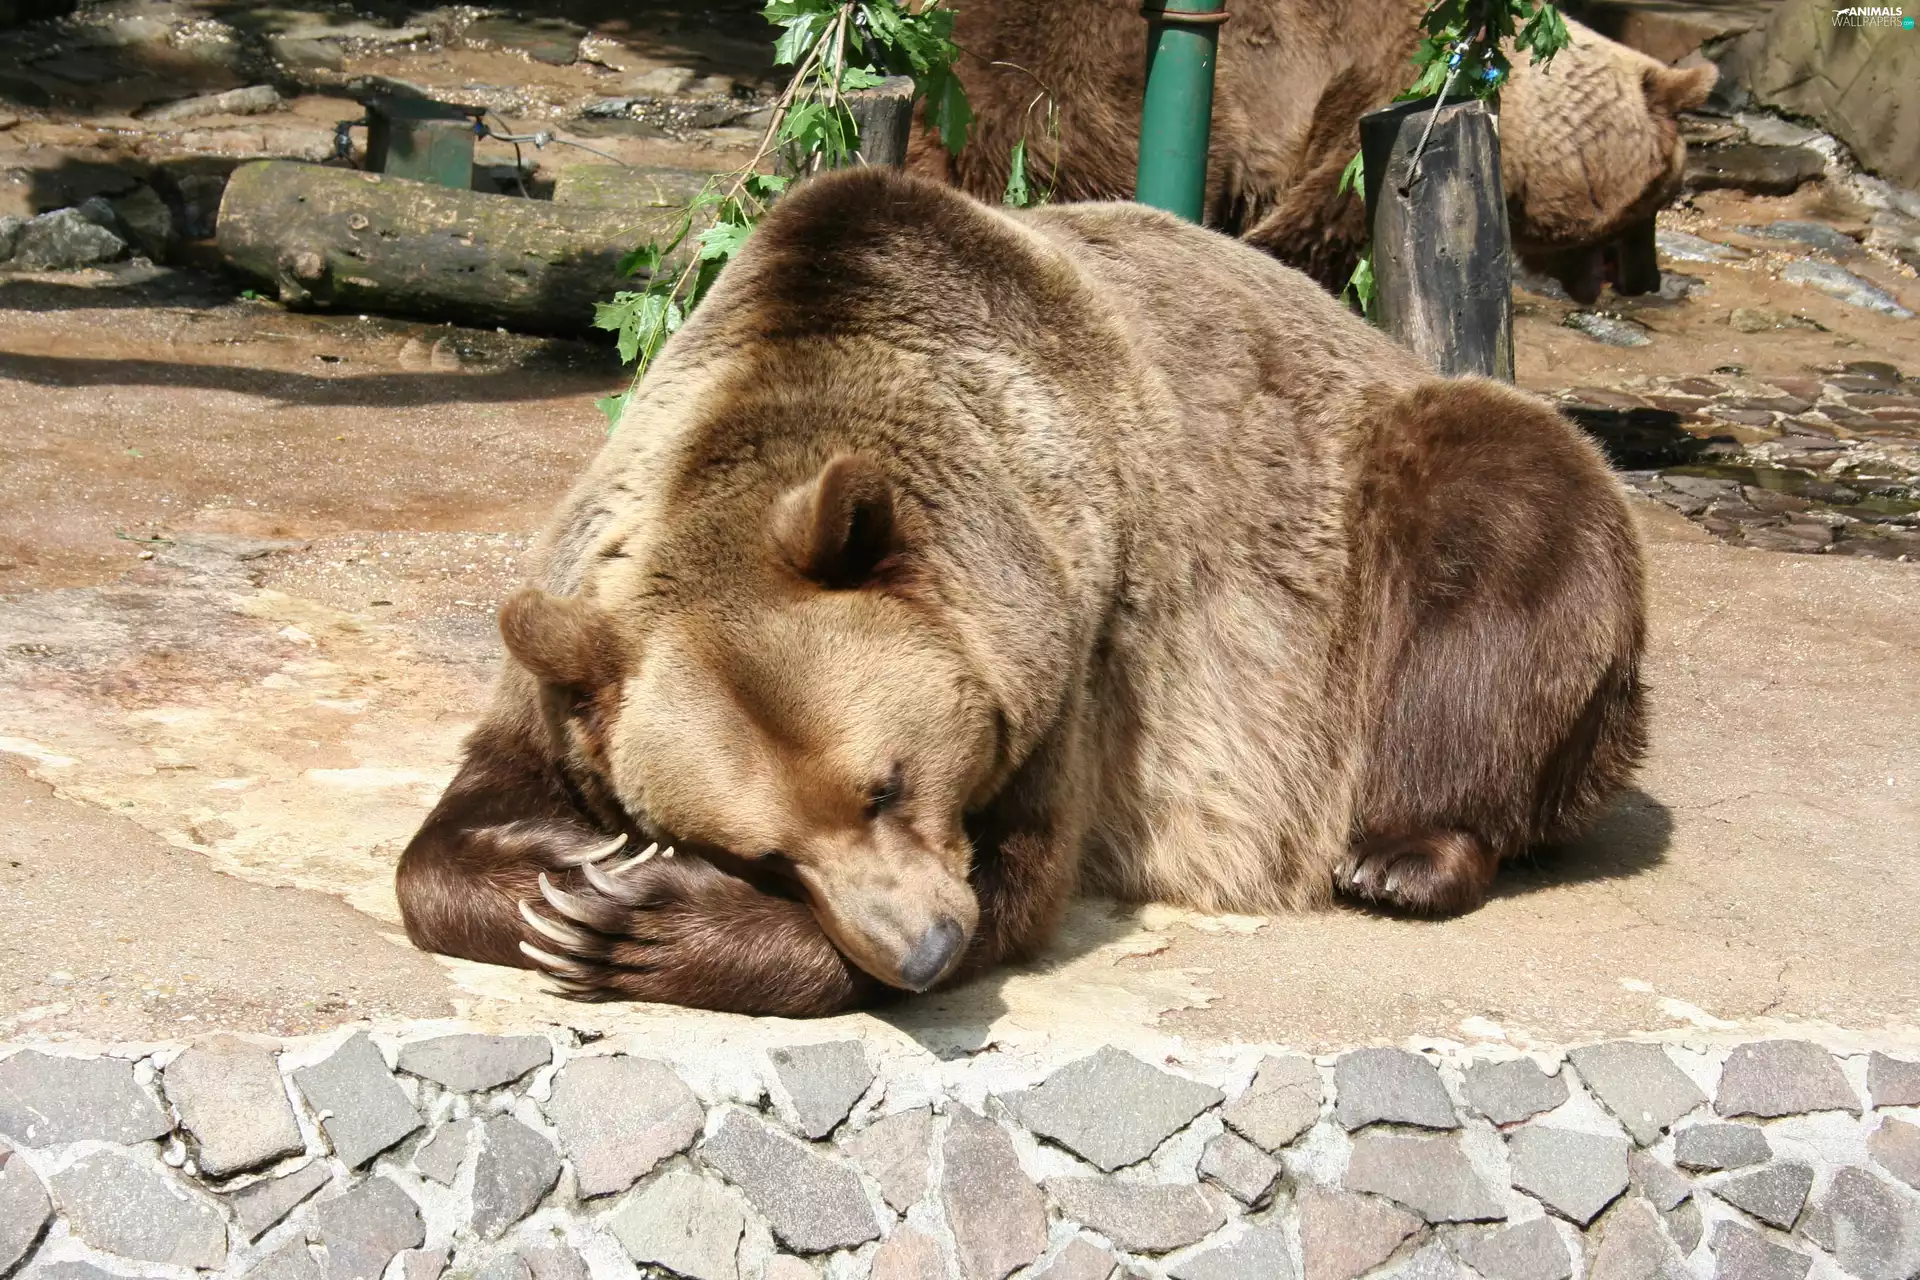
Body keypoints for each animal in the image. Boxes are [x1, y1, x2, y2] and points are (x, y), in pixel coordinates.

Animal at [395, 166, 1648, 1017]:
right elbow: (454, 832)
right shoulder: (576, 636)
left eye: (886, 782)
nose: (918, 947)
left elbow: (1021, 870)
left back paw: (1400, 852)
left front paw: (637, 925)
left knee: (1512, 515)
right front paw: (559, 882)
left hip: (1378, 518)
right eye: (762, 850)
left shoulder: (1073, 646)